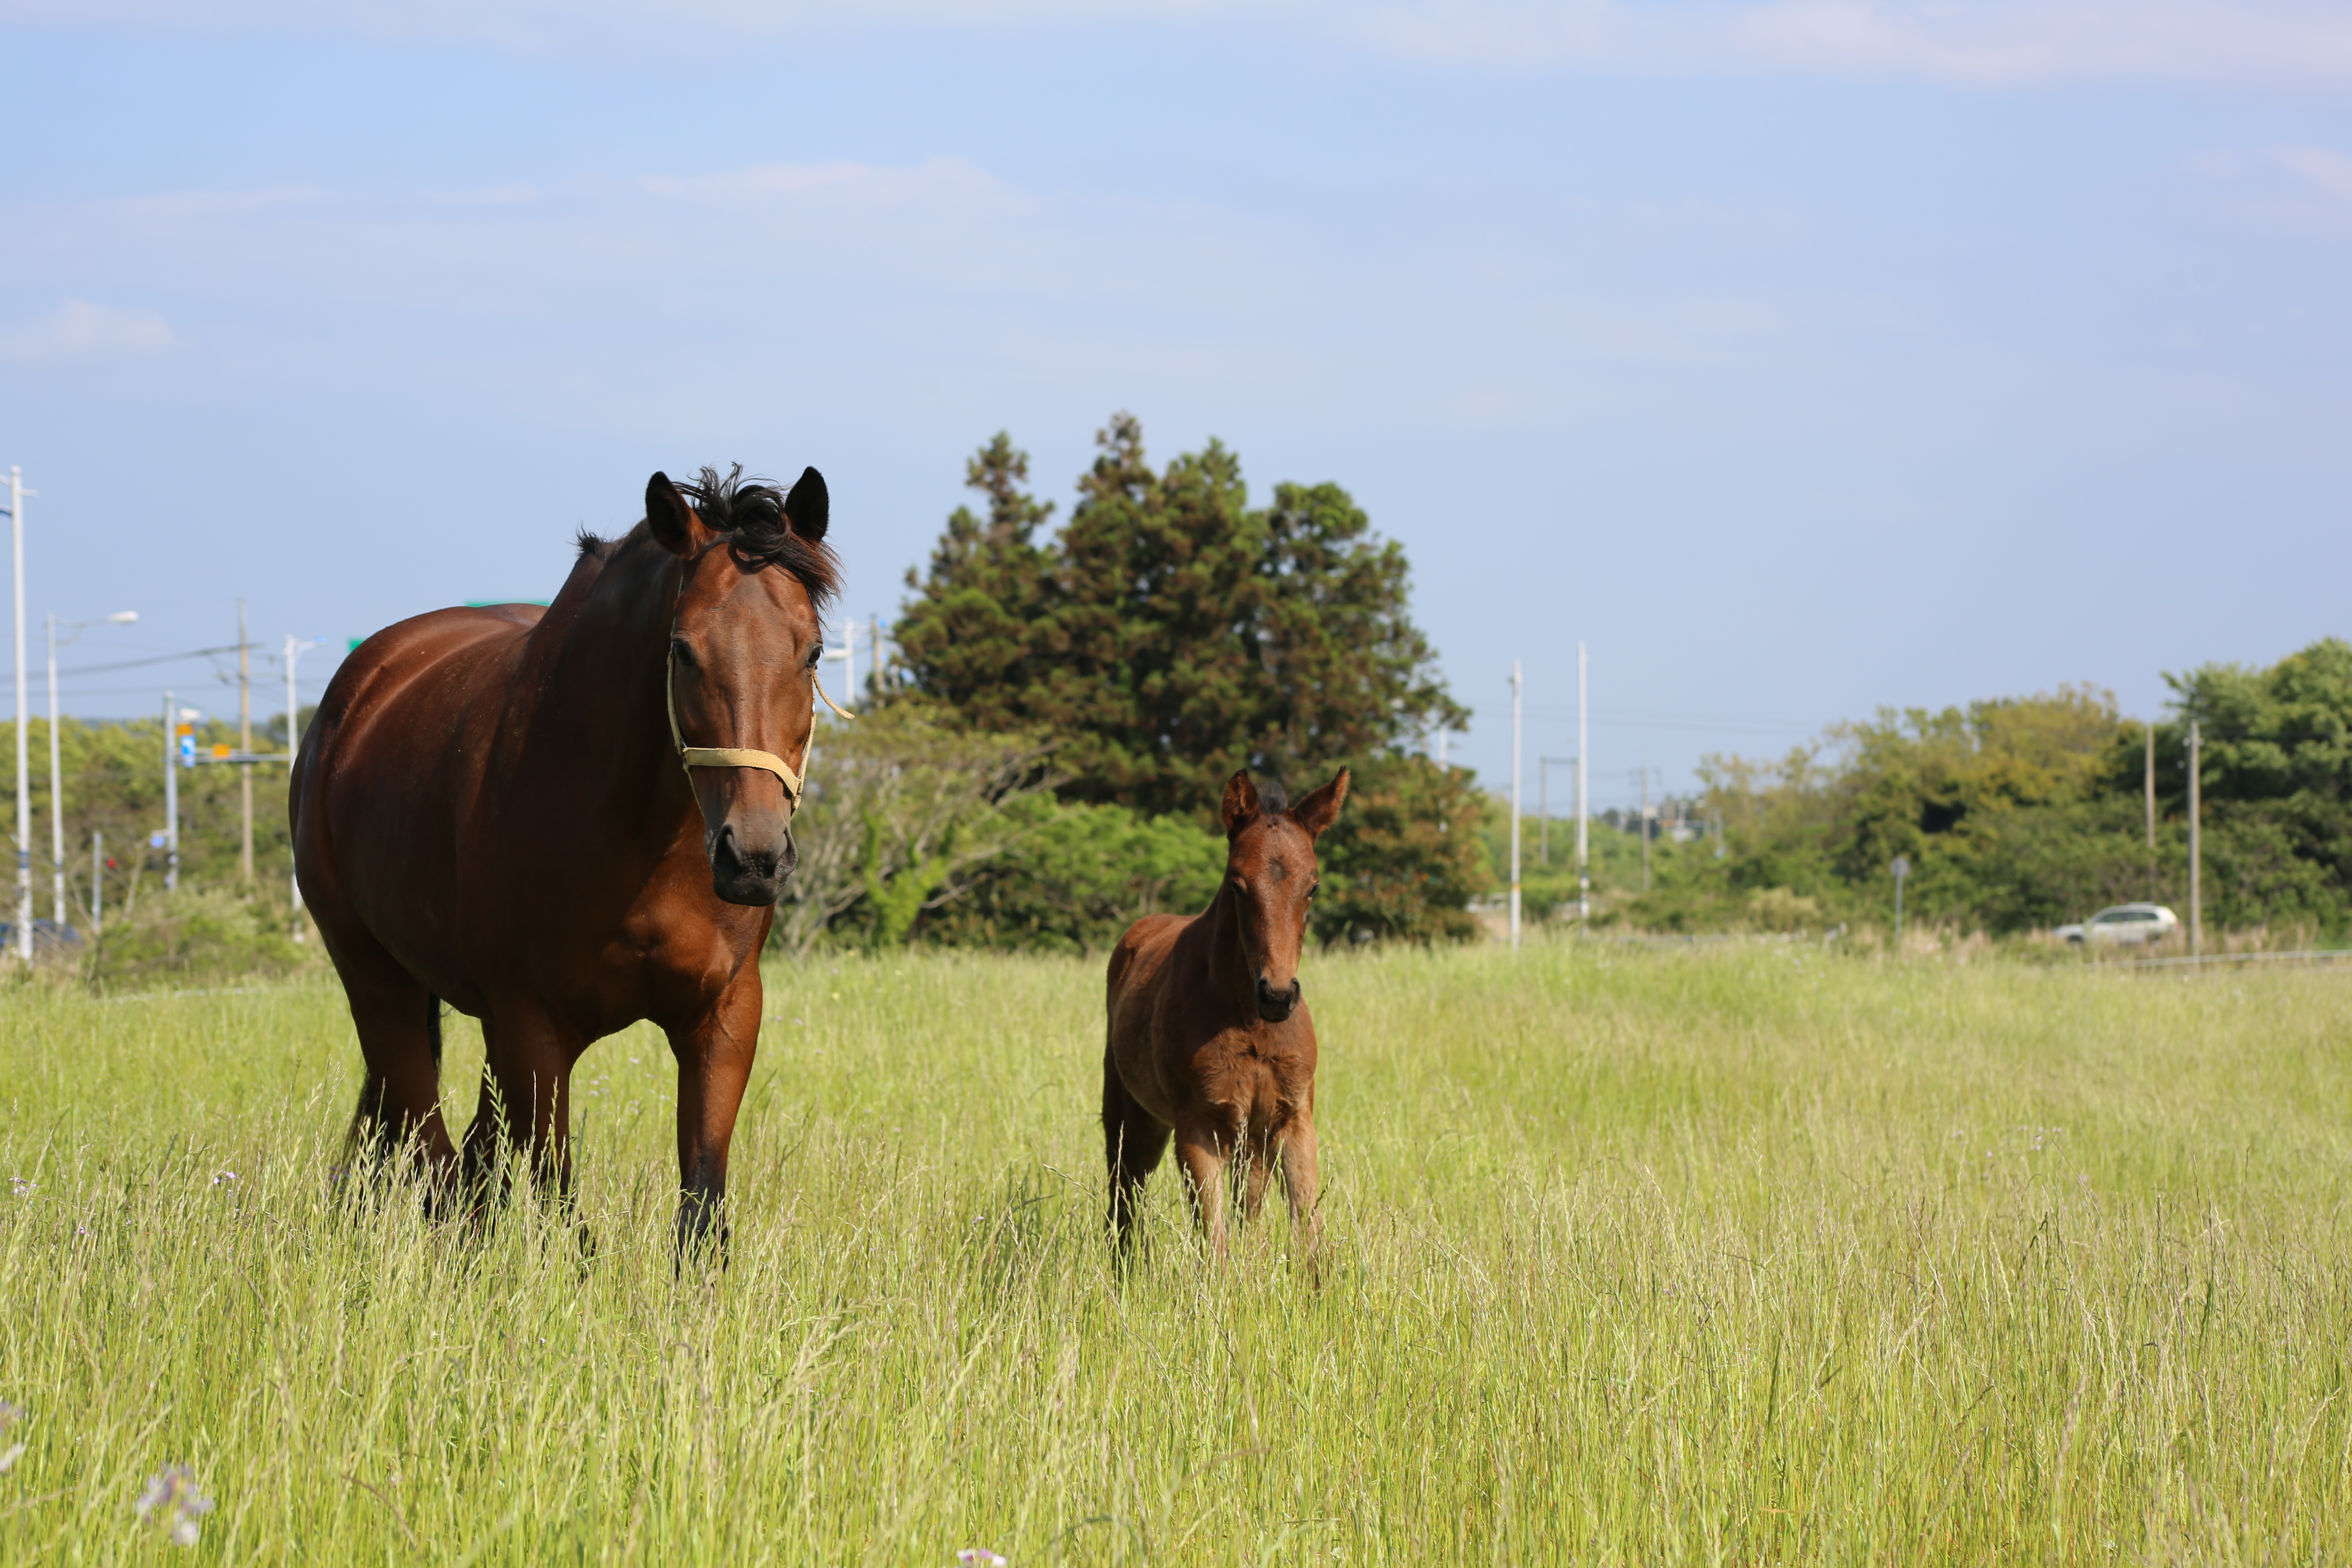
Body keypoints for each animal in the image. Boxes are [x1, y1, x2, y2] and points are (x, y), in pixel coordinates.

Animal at [293, 463, 842, 1250]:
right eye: (683, 650)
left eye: (814, 651)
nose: (755, 857)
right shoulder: (535, 1029)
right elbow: (561, 1211)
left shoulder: (724, 1015)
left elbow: (701, 1212)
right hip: (378, 983)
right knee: (434, 1159)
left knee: (469, 1166)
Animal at [1096, 766, 1354, 1269]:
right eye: (1237, 884)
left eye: (1313, 887)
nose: (1277, 995)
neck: (1249, 1023)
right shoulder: (1200, 1125)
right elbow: (1214, 1242)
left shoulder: (1293, 1119)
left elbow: (1306, 1231)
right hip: (1132, 1116)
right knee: (1125, 1200)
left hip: (1247, 1138)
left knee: (1247, 1208)